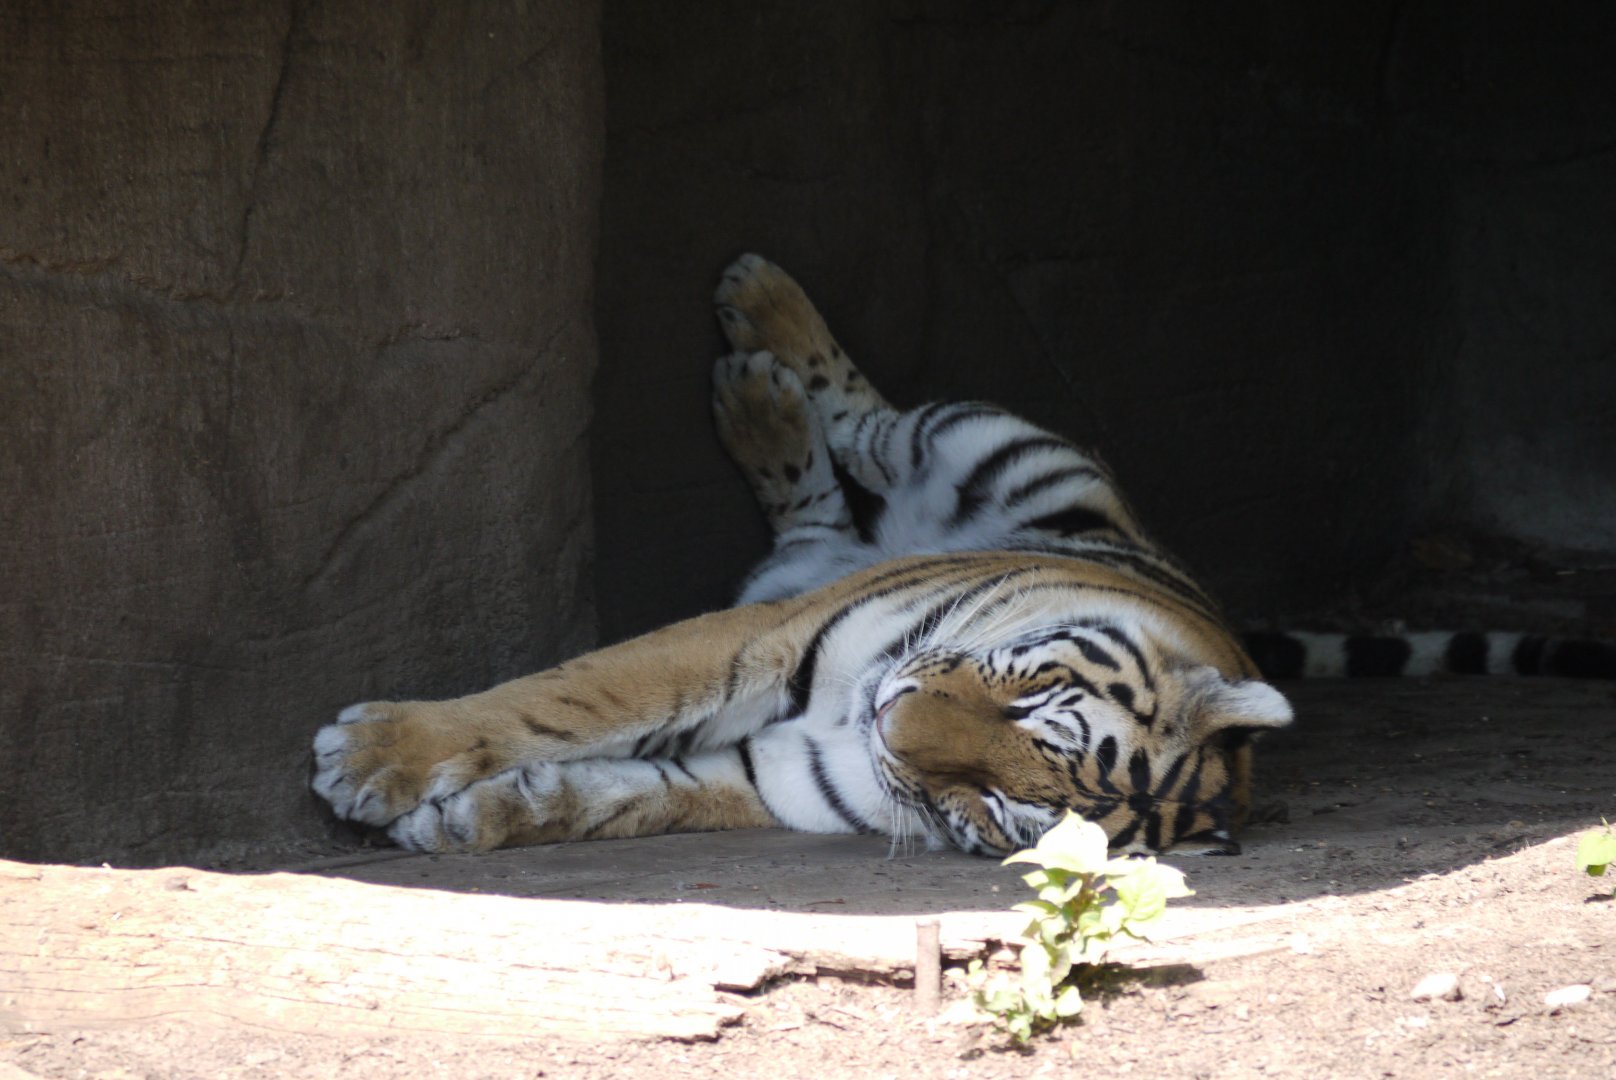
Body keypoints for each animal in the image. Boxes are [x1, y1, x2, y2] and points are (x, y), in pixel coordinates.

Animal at [310, 253, 1298, 858]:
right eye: (1033, 699)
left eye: (1000, 806)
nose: (889, 716)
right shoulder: (761, 636)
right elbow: (576, 695)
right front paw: (372, 757)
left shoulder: (772, 774)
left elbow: (621, 792)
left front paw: (460, 819)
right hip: (991, 441)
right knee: (865, 423)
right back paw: (759, 313)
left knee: (813, 518)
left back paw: (754, 393)